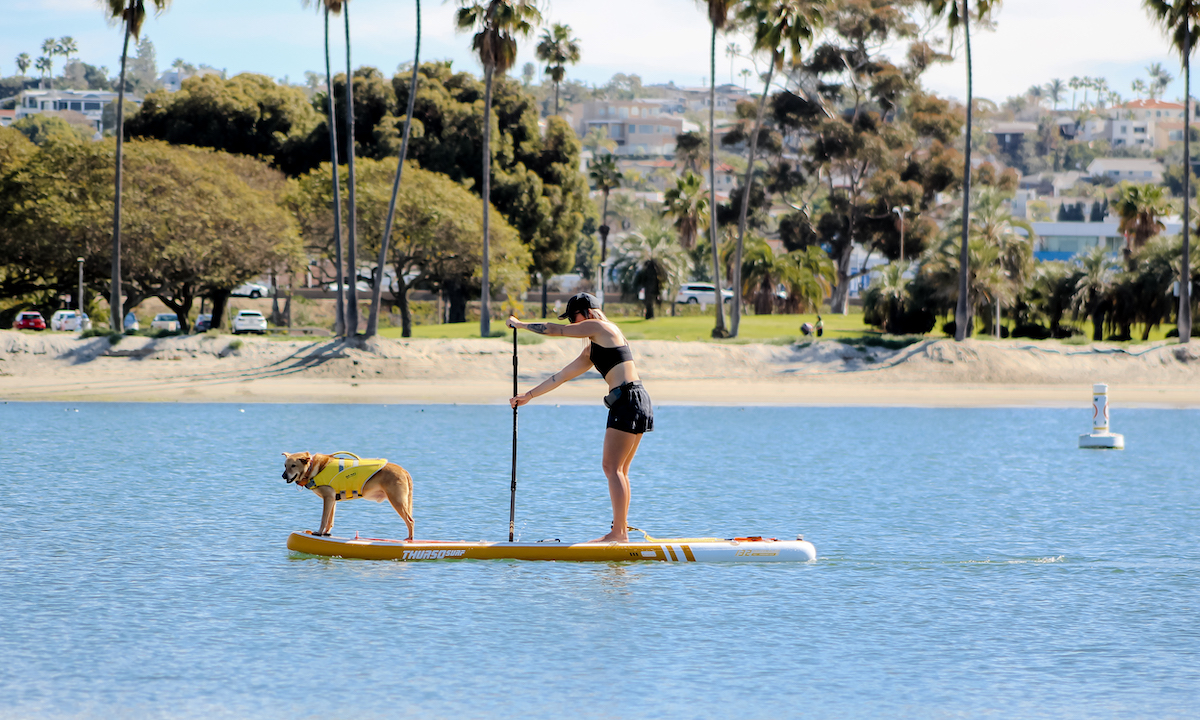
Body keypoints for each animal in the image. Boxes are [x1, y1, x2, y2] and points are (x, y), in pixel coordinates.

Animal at [282, 451, 417, 540]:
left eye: (293, 465)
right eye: (285, 465)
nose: (283, 476)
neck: (312, 468)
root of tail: (404, 470)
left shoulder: (328, 498)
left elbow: (324, 519)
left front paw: (319, 532)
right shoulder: (332, 500)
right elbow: (330, 520)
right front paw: (326, 533)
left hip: (397, 500)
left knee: (410, 521)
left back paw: (409, 539)